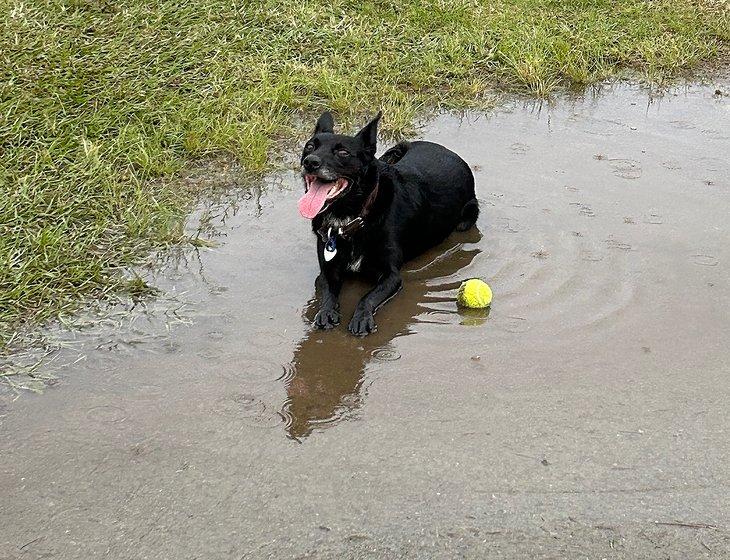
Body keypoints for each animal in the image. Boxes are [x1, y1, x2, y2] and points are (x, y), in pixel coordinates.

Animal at [298, 111, 478, 334]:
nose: (310, 162)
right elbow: (328, 292)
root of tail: (448, 151)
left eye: (343, 152)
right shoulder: (326, 271)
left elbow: (367, 297)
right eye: (310, 147)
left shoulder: (392, 276)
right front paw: (326, 311)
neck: (352, 217)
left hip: (467, 216)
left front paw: (362, 317)